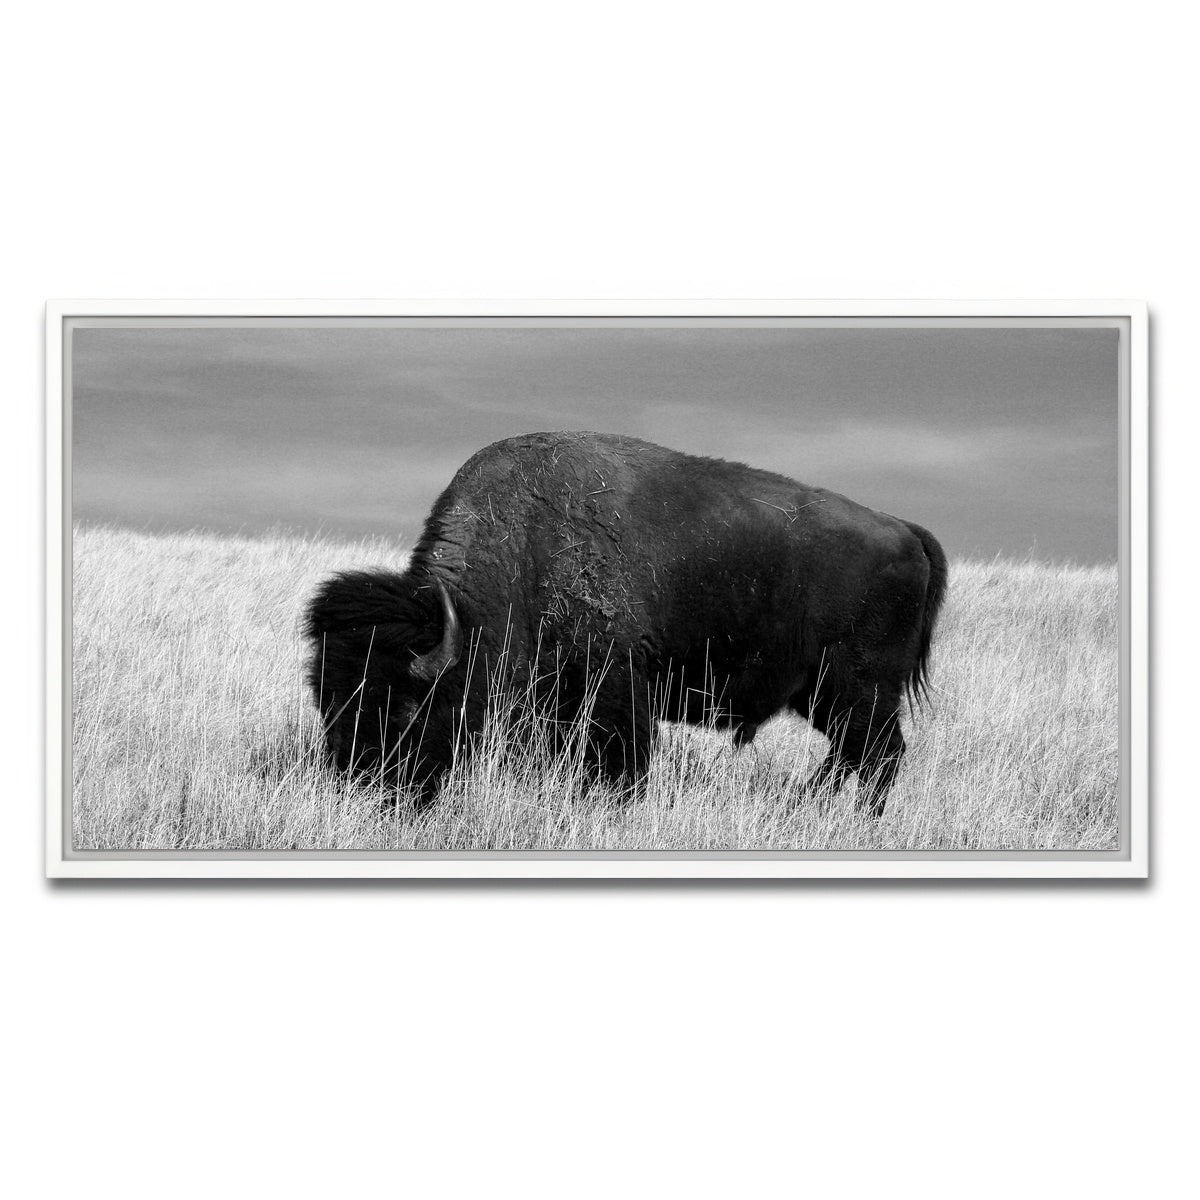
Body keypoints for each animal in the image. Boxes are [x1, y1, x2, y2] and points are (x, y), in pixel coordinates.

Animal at [304, 431, 947, 816]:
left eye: (406, 706)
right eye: (327, 701)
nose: (362, 789)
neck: (522, 551)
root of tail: (905, 530)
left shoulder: (615, 684)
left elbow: (622, 760)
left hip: (858, 688)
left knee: (878, 754)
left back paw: (851, 817)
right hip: (822, 695)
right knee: (853, 753)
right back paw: (809, 805)